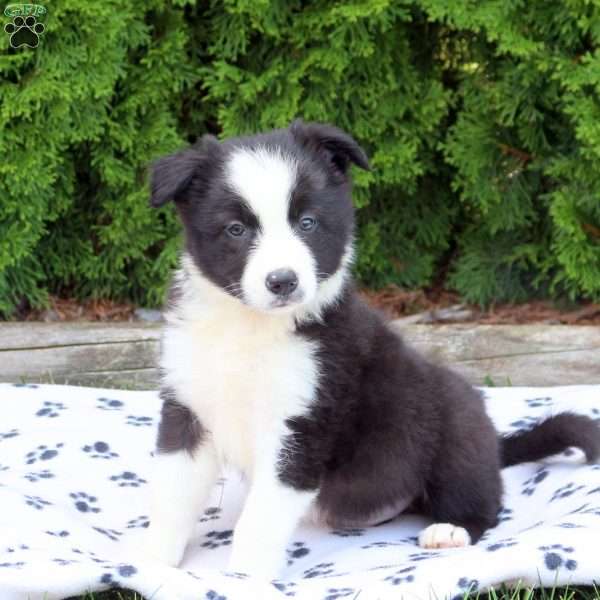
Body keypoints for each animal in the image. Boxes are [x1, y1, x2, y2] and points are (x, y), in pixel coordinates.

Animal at [146, 119, 600, 580]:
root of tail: (494, 443)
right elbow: (171, 497)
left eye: (307, 223)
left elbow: (260, 520)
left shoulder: (301, 429)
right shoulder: (188, 410)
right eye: (236, 230)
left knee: (484, 501)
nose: (283, 281)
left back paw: (451, 529)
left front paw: (243, 578)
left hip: (458, 430)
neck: (249, 327)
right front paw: (152, 562)